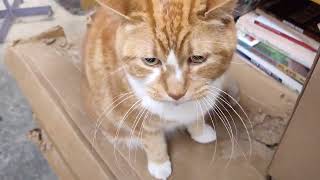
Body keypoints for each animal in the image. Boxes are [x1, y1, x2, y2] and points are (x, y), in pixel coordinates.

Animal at [82, 0, 238, 179]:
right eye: (150, 60)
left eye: (198, 58)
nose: (176, 94)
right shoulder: (137, 117)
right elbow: (153, 141)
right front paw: (159, 164)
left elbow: (196, 117)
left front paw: (201, 133)